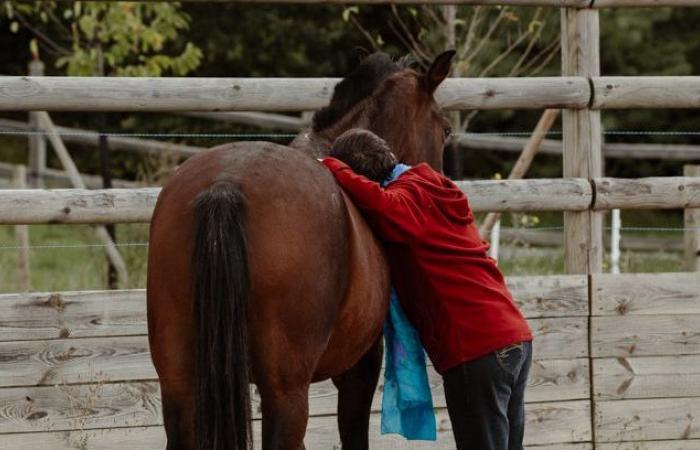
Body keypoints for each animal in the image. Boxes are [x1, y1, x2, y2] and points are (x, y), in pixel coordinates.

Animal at [145, 50, 456, 450]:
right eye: (445, 129)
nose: (440, 181)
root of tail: (226, 183)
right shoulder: (360, 367)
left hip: (180, 385)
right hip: (287, 394)